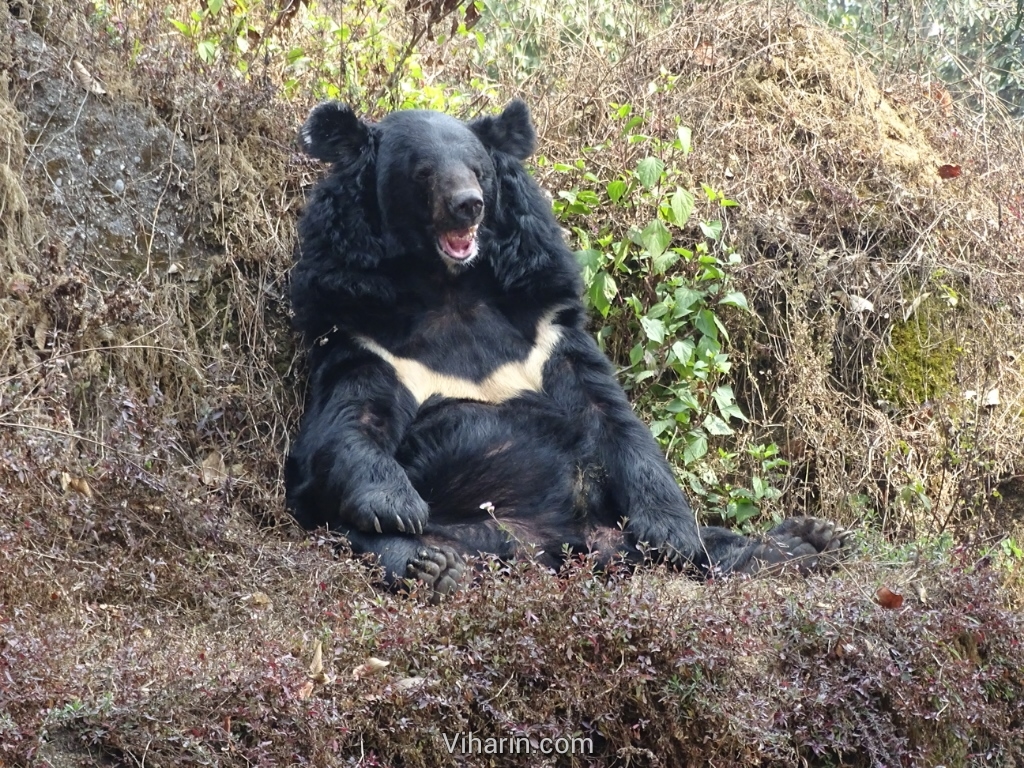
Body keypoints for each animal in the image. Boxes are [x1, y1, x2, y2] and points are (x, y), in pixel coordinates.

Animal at [284, 99, 843, 598]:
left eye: (479, 171)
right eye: (422, 174)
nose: (468, 205)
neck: (449, 286)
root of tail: (562, 548)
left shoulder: (545, 324)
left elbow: (614, 421)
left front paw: (671, 529)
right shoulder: (361, 329)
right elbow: (345, 428)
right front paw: (396, 505)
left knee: (711, 547)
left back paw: (802, 543)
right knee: (376, 544)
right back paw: (435, 567)